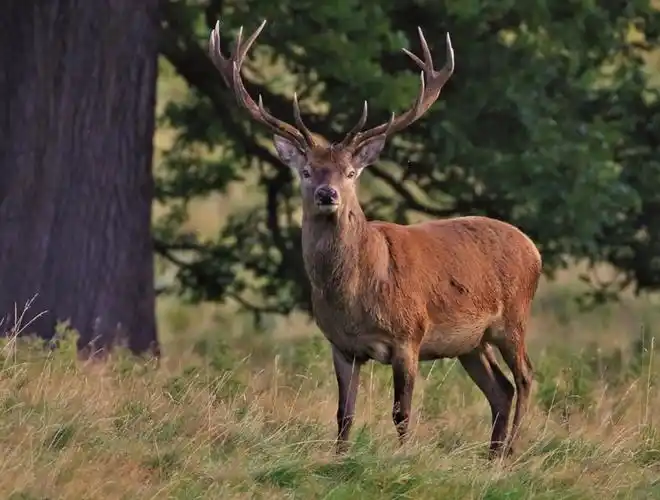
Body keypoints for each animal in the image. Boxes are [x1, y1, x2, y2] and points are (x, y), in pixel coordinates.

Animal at [208, 19, 542, 458]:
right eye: (307, 171)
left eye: (350, 173)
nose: (327, 194)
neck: (356, 296)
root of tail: (533, 248)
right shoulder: (341, 345)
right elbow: (343, 414)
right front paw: (339, 459)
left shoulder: (409, 336)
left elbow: (402, 412)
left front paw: (403, 458)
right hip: (472, 342)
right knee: (500, 390)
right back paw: (492, 456)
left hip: (513, 318)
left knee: (525, 377)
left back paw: (511, 451)